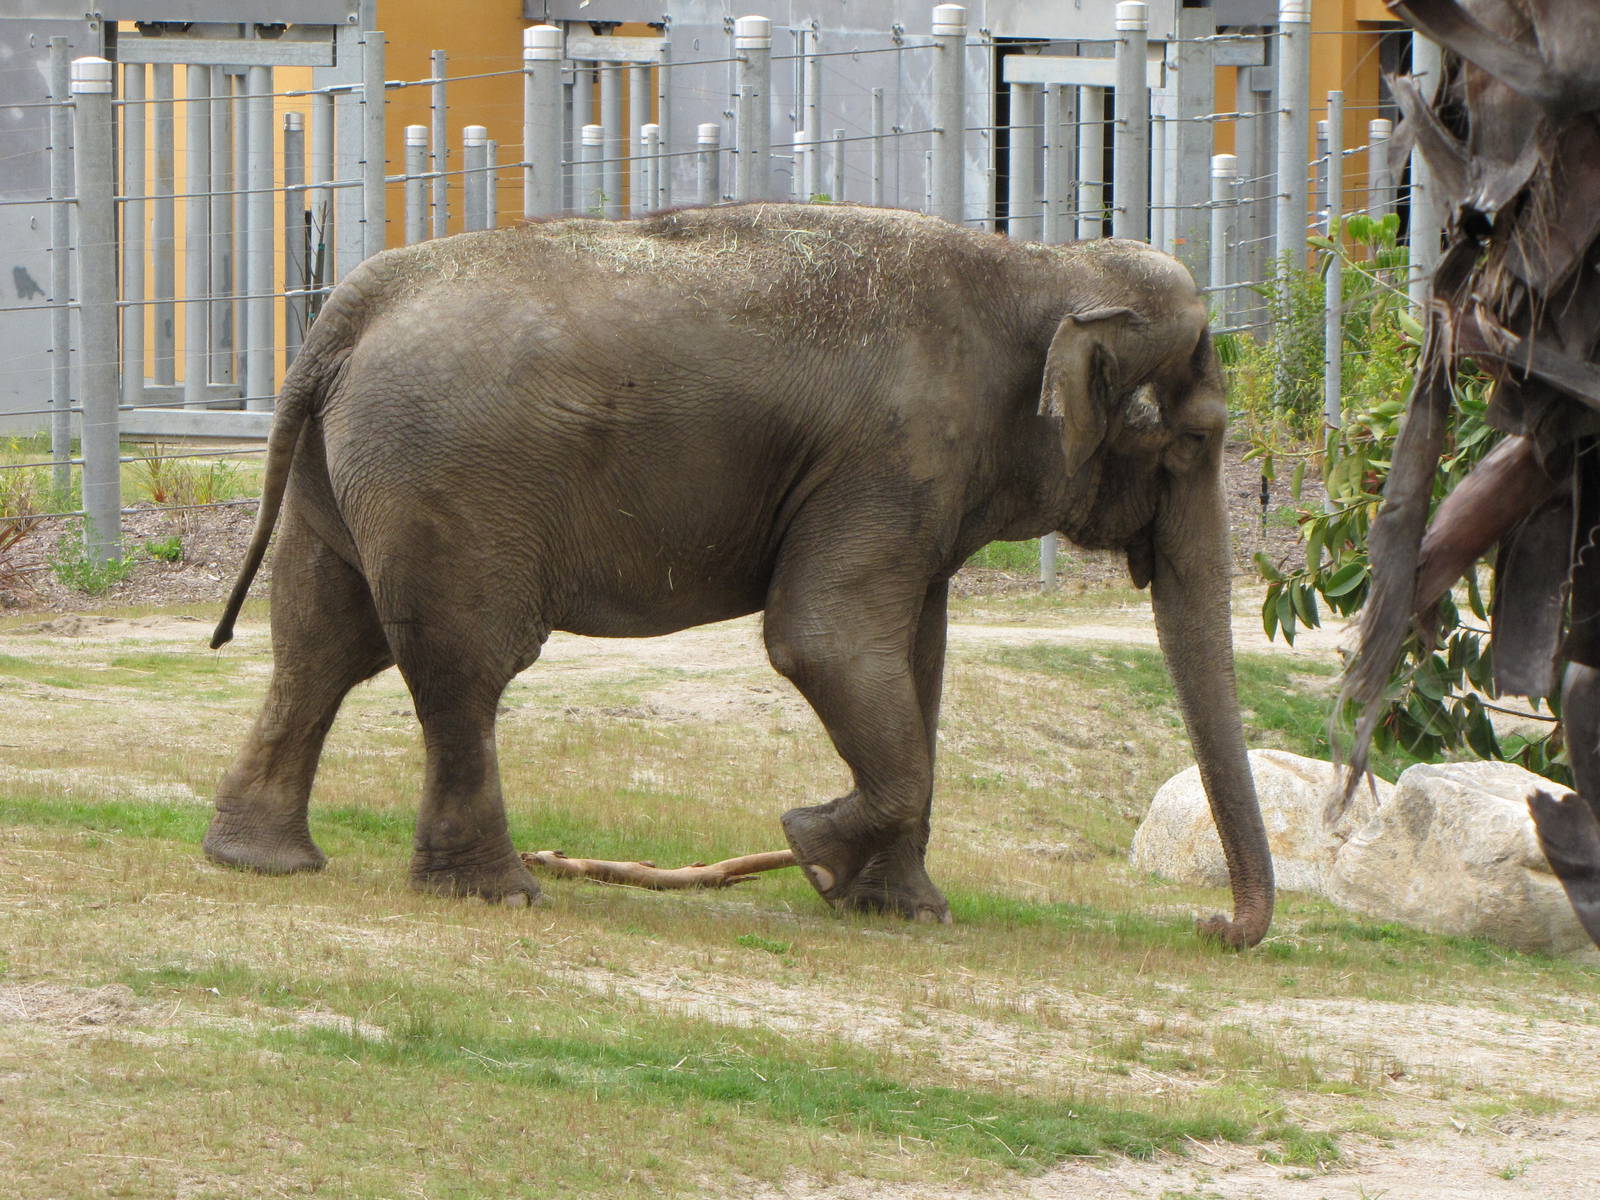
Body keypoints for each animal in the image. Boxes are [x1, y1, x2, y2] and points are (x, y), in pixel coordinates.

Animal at [203, 203, 1273, 948]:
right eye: (1194, 442)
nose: (1212, 927)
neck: (1050, 264)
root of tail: (348, 308)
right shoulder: (892, 457)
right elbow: (823, 641)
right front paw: (812, 850)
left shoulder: (917, 486)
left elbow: (914, 659)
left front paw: (902, 910)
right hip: (450, 484)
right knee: (464, 665)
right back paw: (500, 892)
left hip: (348, 476)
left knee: (320, 644)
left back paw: (263, 863)